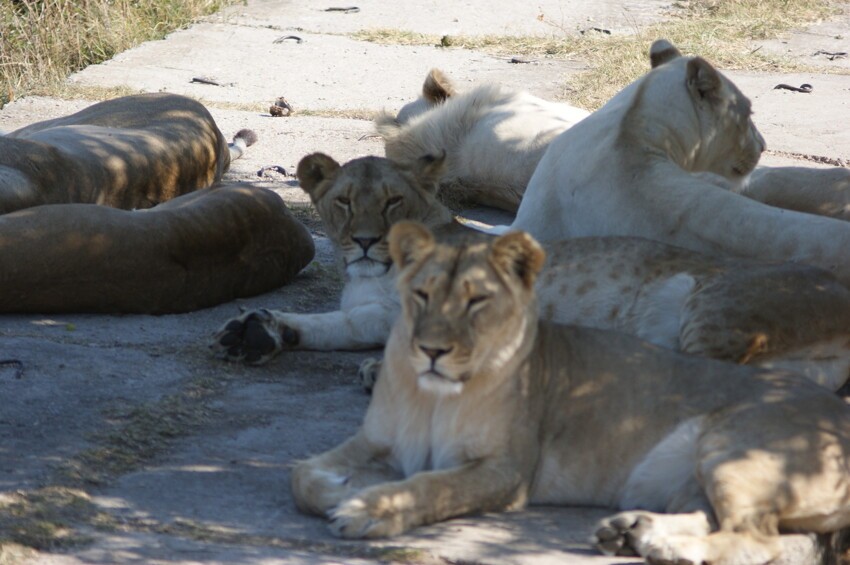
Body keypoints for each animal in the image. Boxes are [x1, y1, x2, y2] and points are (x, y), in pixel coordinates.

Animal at [210, 154, 848, 392]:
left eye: (393, 202)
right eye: (344, 202)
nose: (367, 242)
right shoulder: (371, 312)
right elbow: (330, 325)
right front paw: (257, 331)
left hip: (708, 304)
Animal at [290, 221, 848, 564]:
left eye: (477, 301)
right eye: (422, 295)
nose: (431, 350)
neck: (433, 394)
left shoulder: (507, 470)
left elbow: (430, 486)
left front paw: (366, 508)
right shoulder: (374, 442)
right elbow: (301, 476)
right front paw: (344, 490)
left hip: (731, 435)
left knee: (761, 540)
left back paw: (665, 547)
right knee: (748, 527)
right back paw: (634, 531)